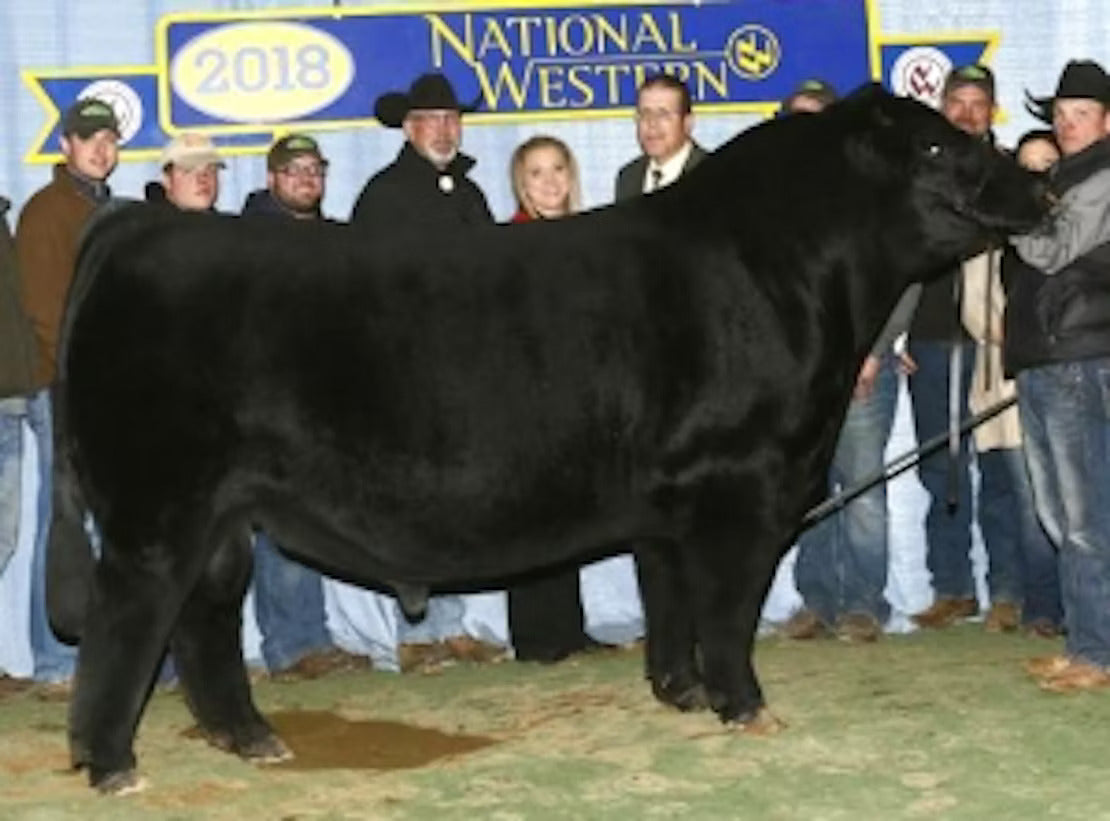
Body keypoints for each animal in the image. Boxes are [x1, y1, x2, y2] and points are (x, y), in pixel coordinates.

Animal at [48, 85, 1045, 793]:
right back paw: (111, 761)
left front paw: (680, 691)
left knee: (205, 618)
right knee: (130, 618)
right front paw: (744, 704)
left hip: (221, 513)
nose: (1036, 183)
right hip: (156, 507)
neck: (779, 269)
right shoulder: (743, 484)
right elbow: (727, 607)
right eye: (935, 144)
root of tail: (140, 222)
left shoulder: (668, 503)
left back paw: (250, 736)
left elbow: (669, 601)